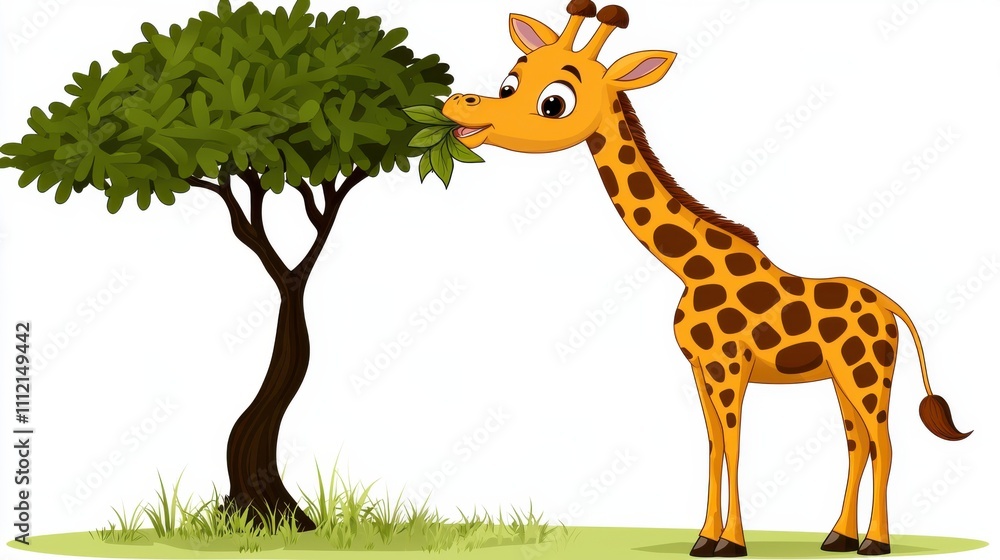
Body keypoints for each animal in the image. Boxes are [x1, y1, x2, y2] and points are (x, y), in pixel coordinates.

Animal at [442, 1, 972, 557]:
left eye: (554, 102)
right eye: (510, 81)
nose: (459, 103)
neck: (692, 267)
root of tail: (890, 306)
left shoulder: (728, 366)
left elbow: (736, 445)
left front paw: (732, 543)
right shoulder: (699, 368)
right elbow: (715, 444)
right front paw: (703, 539)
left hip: (868, 372)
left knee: (883, 442)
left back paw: (875, 542)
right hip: (843, 376)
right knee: (859, 442)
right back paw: (838, 536)